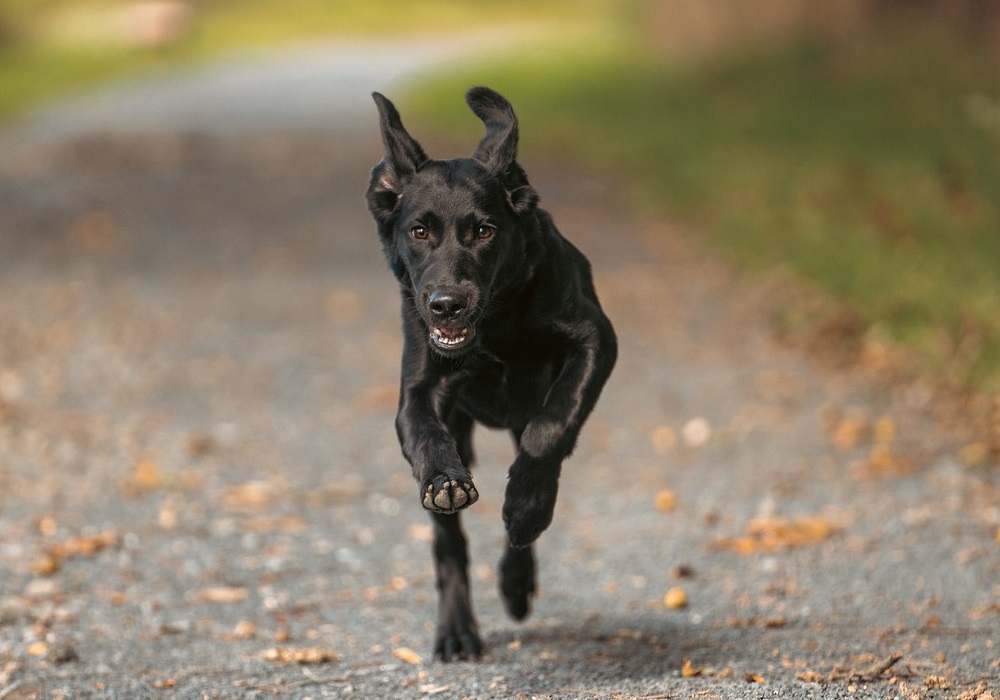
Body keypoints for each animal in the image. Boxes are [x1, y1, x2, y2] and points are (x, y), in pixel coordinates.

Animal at [368, 85, 616, 660]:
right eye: (419, 231)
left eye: (484, 231)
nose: (446, 304)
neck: (494, 327)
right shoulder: (418, 388)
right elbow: (425, 434)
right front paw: (445, 479)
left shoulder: (595, 341)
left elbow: (552, 427)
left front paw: (526, 507)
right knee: (449, 545)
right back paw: (458, 630)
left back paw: (517, 575)